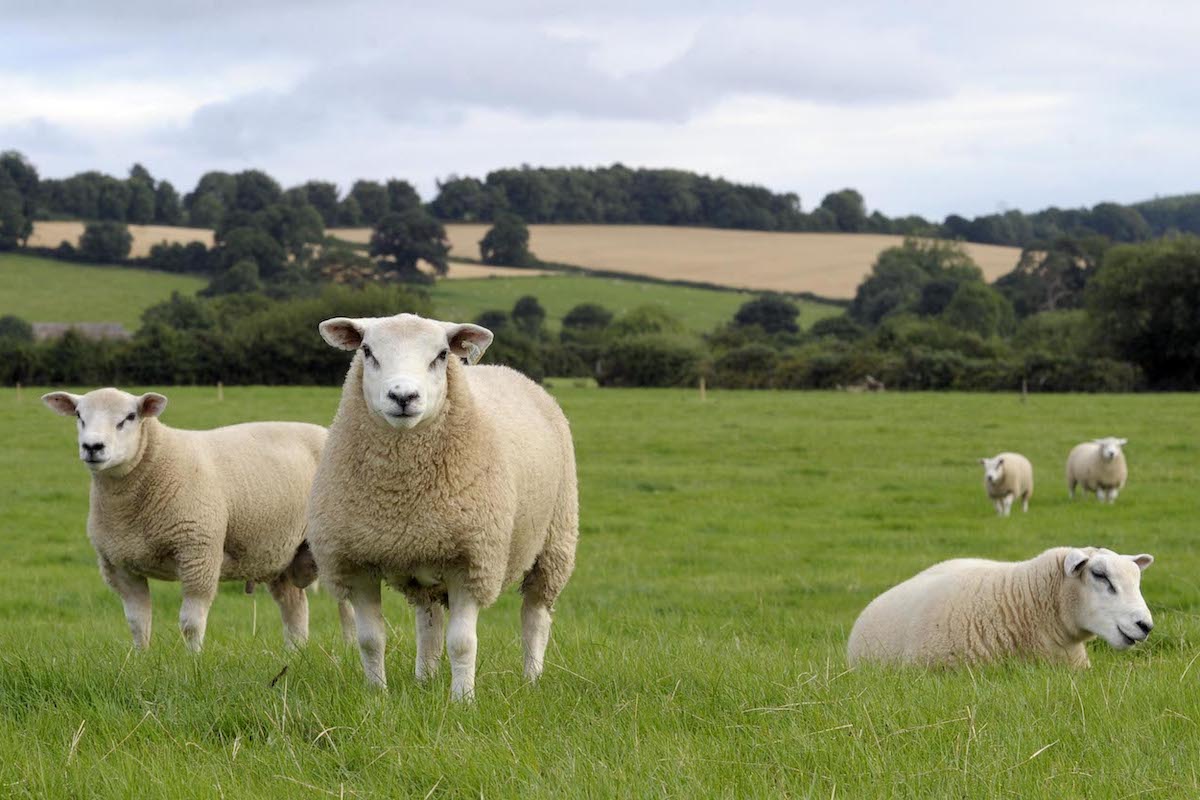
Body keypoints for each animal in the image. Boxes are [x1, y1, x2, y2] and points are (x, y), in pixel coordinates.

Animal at [44, 386, 352, 652]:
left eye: (129, 417)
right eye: (79, 416)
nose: (92, 446)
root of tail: (325, 431)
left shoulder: (198, 552)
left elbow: (190, 623)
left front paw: (193, 661)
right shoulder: (120, 565)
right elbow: (137, 623)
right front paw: (140, 659)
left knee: (346, 604)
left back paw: (349, 647)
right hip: (279, 552)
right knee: (294, 606)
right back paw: (294, 653)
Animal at [304, 311, 576, 700]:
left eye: (442, 354)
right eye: (367, 351)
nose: (403, 396)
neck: (400, 497)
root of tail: (506, 370)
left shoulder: (471, 561)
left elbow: (462, 643)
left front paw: (462, 700)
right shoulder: (354, 563)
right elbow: (370, 640)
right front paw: (377, 696)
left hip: (556, 539)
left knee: (535, 615)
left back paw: (531, 679)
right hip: (424, 555)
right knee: (428, 620)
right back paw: (425, 677)